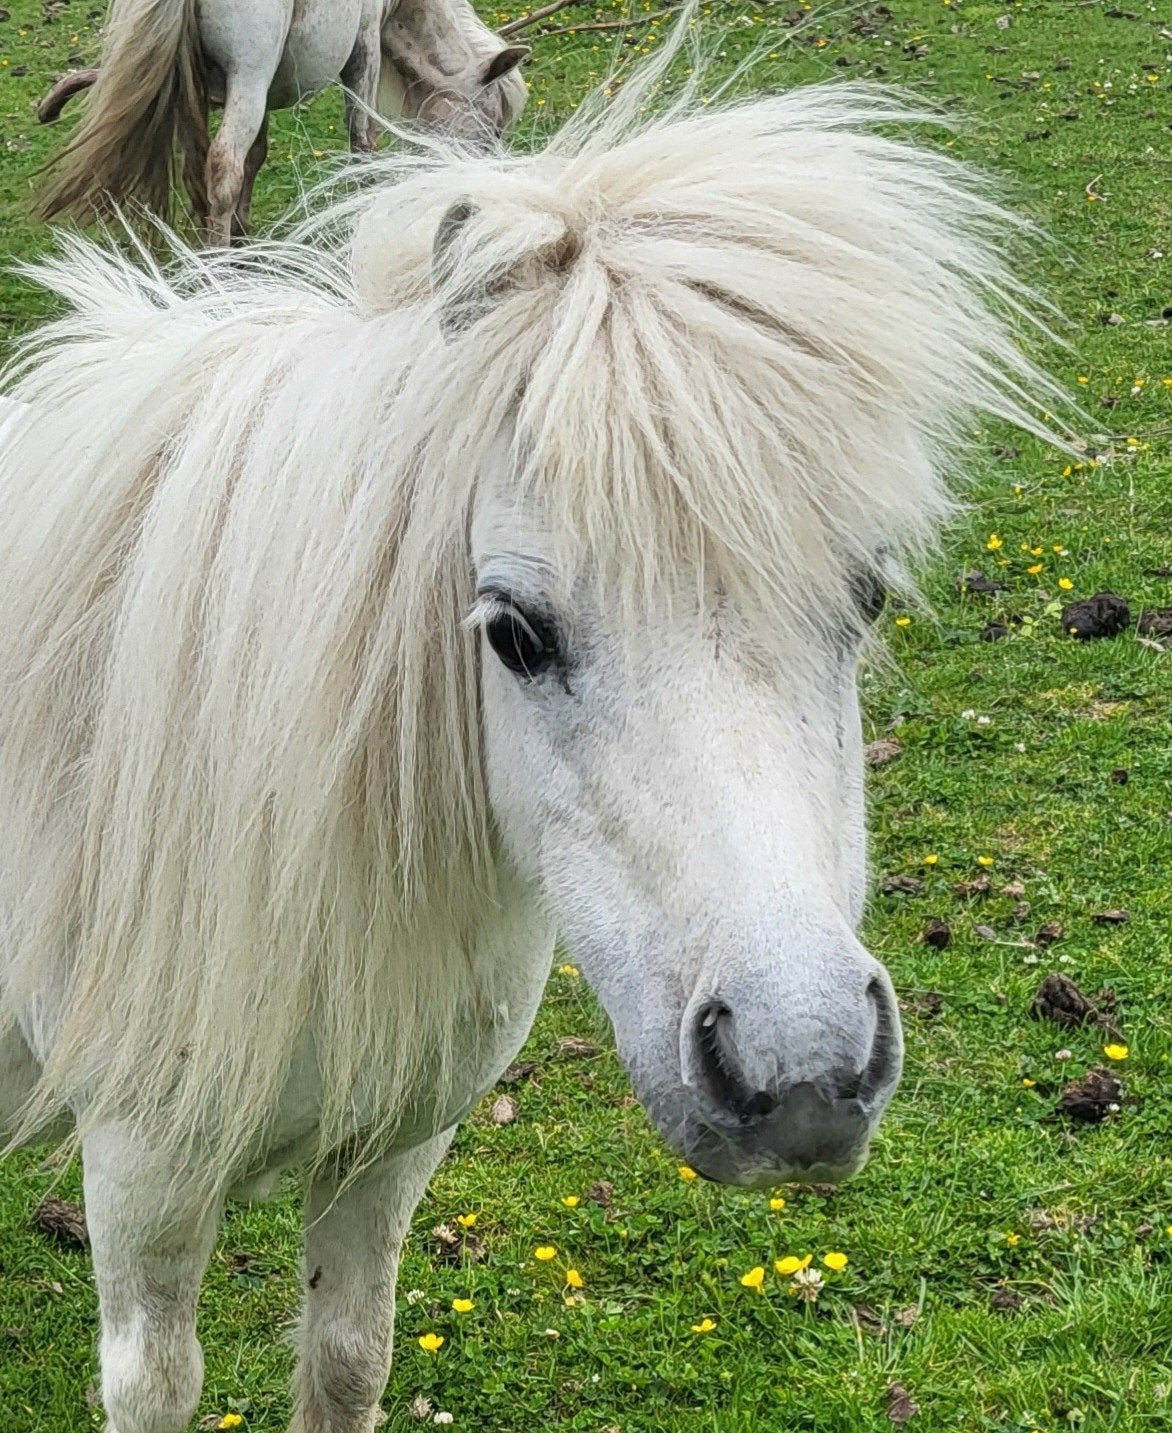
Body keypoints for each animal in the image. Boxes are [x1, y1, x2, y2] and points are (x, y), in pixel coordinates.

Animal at [0, 38, 1057, 1433]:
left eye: (867, 596)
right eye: (510, 631)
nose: (799, 1073)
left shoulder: (390, 1150)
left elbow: (347, 1359)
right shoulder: (142, 1181)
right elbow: (158, 1381)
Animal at [36, 0, 528, 243]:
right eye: (493, 124)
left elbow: (257, 156)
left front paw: (245, 237)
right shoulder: (364, 46)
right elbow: (362, 143)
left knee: (204, 174)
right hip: (249, 74)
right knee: (222, 171)